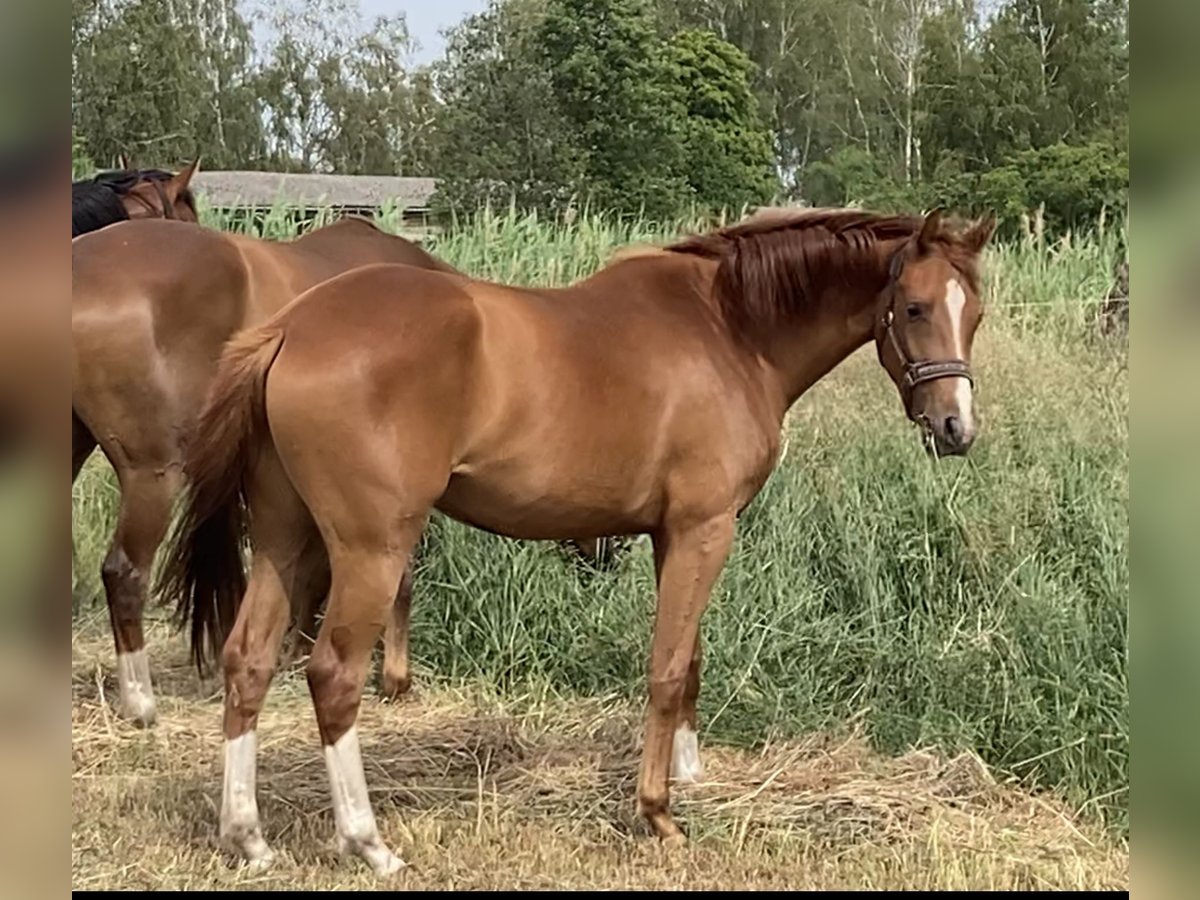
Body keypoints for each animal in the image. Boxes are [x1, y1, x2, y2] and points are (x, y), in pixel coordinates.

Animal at [164, 206, 998, 873]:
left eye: (976, 313)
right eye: (914, 307)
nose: (956, 429)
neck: (729, 330)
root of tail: (290, 327)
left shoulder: (674, 534)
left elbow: (689, 659)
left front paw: (688, 775)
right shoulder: (704, 529)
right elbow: (666, 668)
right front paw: (658, 812)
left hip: (284, 540)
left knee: (248, 661)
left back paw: (247, 837)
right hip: (369, 551)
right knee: (334, 676)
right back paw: (368, 843)